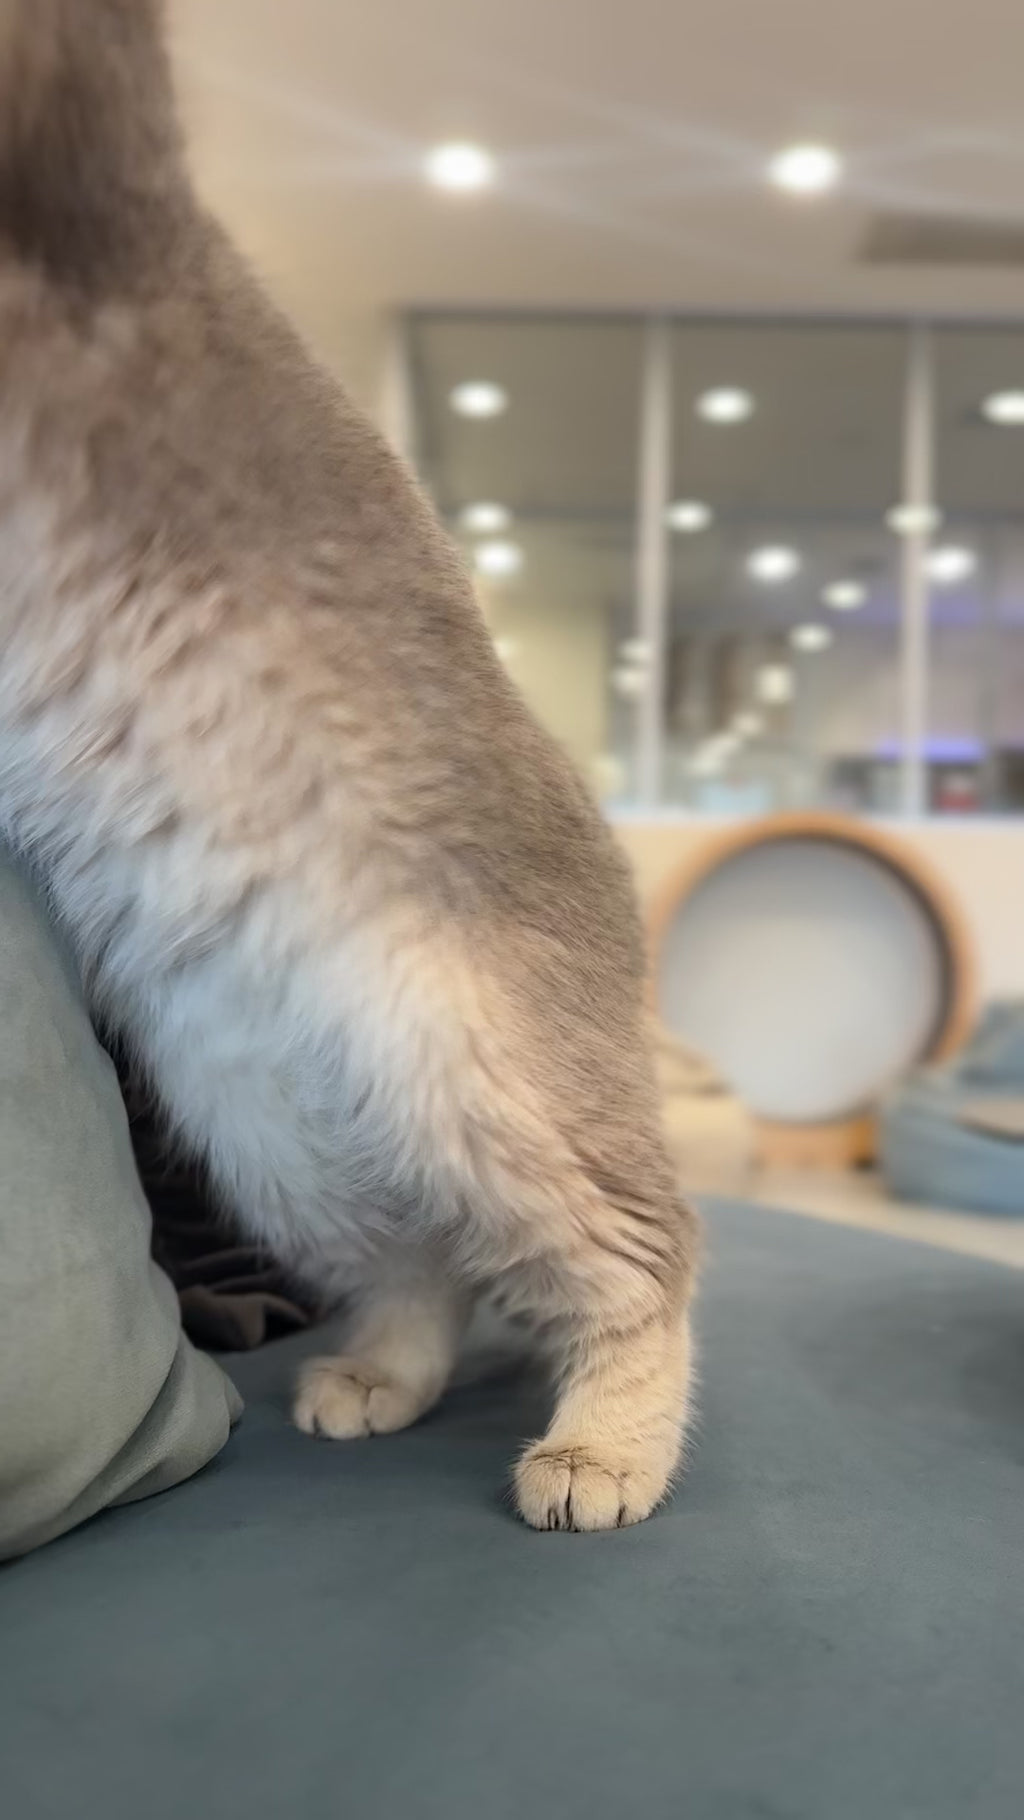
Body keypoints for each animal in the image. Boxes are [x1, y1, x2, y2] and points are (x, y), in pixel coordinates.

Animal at [0, 0, 698, 1529]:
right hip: (267, 1130)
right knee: (424, 1267)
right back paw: (379, 1376)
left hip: (489, 1083)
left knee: (644, 1260)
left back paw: (603, 1450)